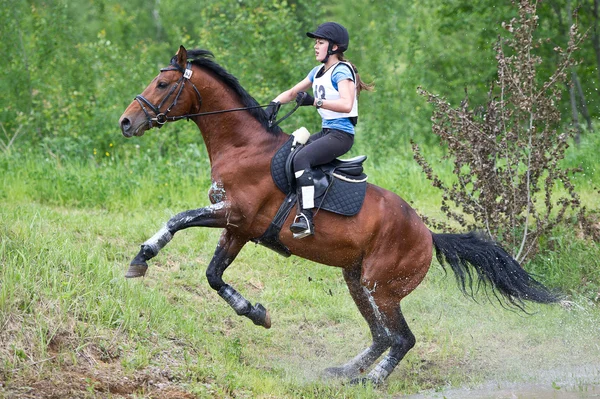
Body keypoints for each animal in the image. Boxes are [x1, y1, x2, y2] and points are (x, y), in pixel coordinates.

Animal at [119, 47, 560, 388]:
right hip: (357, 280)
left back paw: (370, 381)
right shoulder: (236, 227)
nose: (126, 122)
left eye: (162, 85)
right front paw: (257, 313)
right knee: (382, 336)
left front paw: (141, 258)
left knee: (402, 339)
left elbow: (177, 220)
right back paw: (345, 371)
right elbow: (214, 275)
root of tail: (428, 235)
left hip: (382, 286)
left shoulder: (232, 214)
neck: (242, 146)